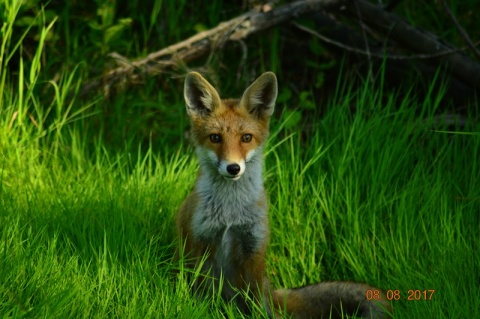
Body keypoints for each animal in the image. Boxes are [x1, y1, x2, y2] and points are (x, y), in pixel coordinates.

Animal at [176, 71, 390, 318]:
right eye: (215, 138)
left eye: (246, 138)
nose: (233, 168)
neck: (230, 214)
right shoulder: (198, 244)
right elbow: (196, 293)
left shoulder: (253, 250)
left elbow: (255, 304)